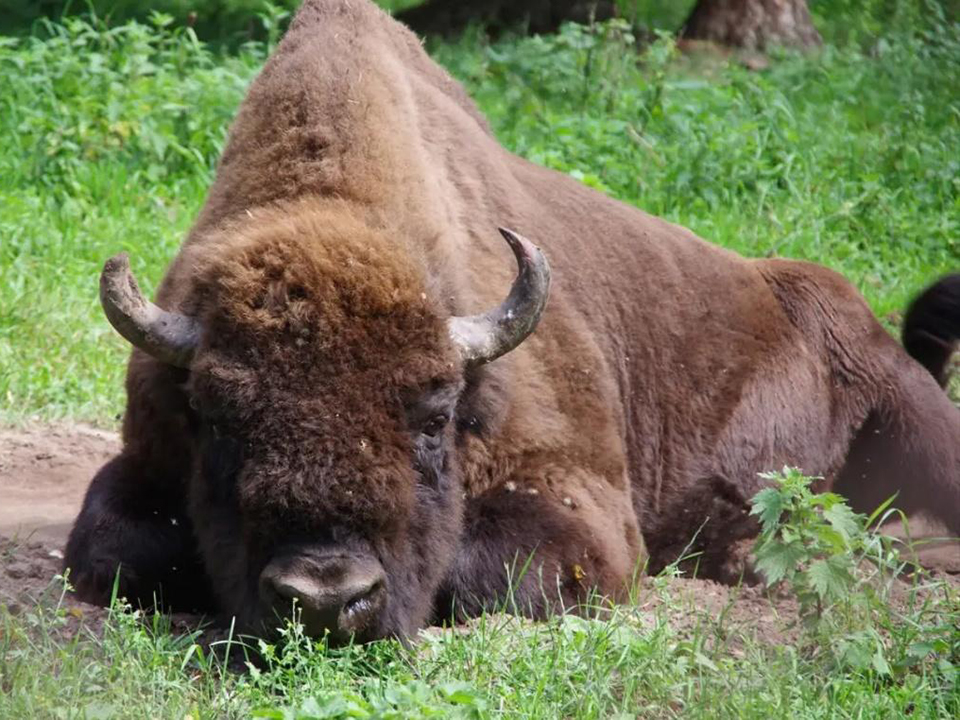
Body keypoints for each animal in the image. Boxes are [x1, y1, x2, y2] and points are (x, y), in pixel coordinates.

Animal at [63, 0, 956, 640]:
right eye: (219, 418)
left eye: (434, 416)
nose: (325, 594)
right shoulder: (144, 459)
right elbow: (114, 550)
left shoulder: (585, 506)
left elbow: (479, 565)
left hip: (912, 403)